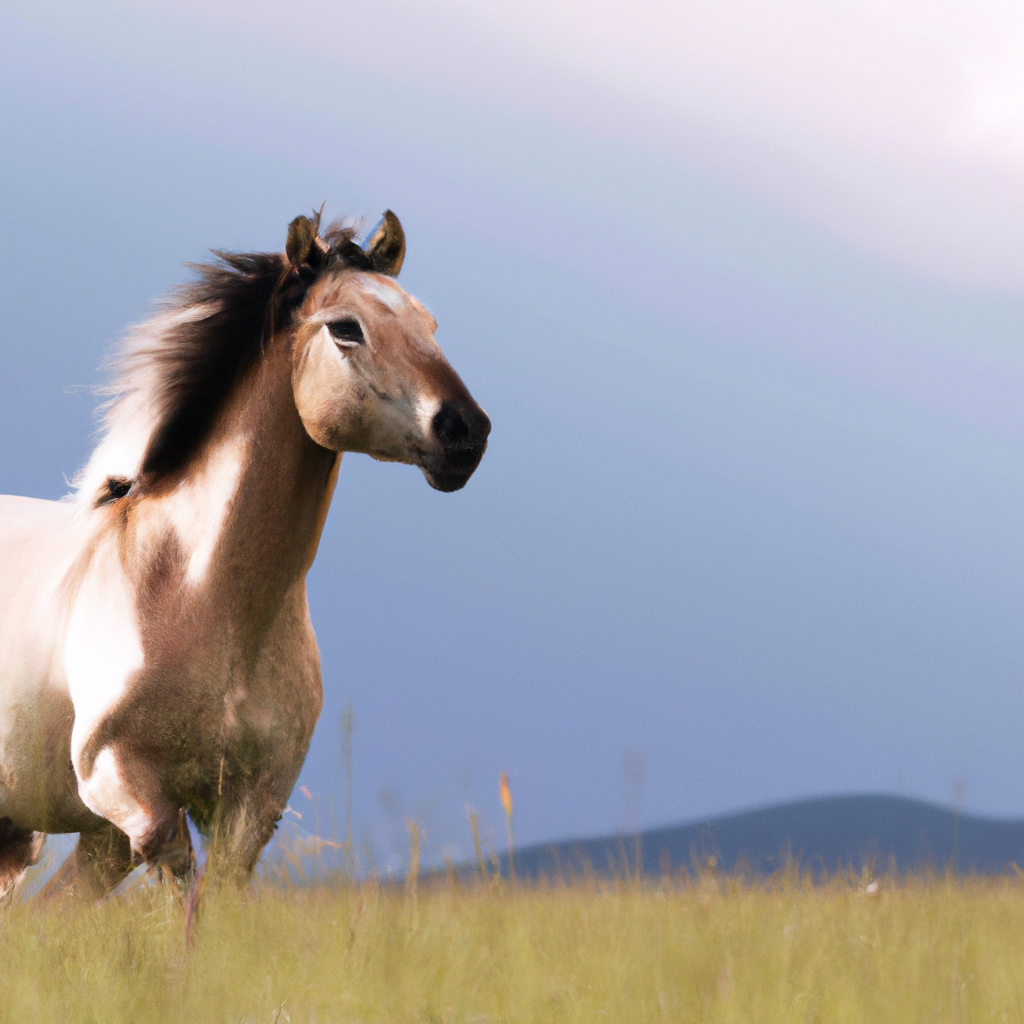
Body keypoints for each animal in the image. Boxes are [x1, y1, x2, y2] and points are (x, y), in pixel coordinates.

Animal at [0, 211, 491, 901]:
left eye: (430, 324)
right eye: (346, 328)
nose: (465, 433)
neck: (199, 596)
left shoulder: (250, 811)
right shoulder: (128, 794)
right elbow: (180, 894)